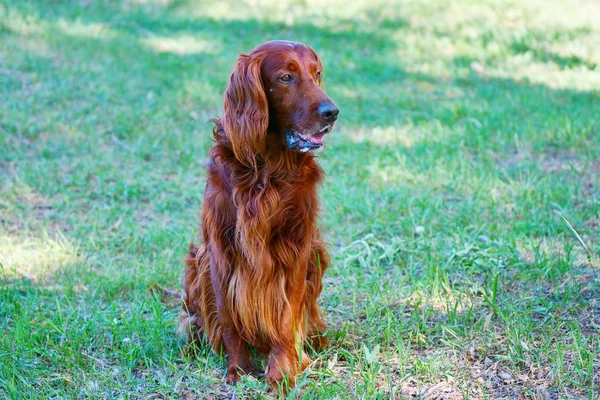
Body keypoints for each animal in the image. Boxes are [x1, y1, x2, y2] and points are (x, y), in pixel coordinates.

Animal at [180, 41, 340, 390]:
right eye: (286, 77)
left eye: (317, 74)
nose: (332, 112)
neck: (267, 167)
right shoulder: (220, 248)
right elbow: (228, 318)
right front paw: (239, 369)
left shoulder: (297, 247)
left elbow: (286, 315)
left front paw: (282, 373)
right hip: (196, 261)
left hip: (317, 254)